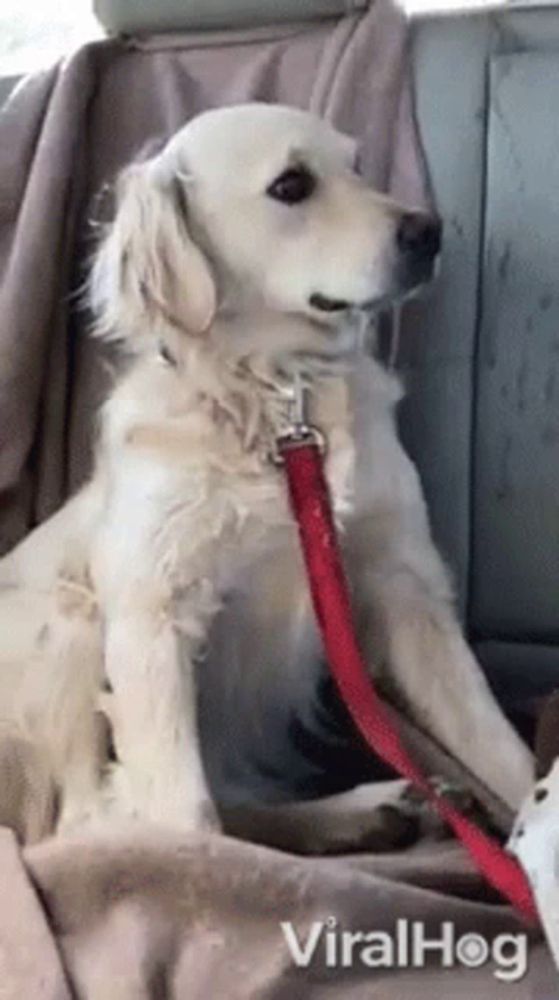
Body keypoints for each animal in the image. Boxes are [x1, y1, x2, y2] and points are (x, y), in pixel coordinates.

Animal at [0, 105, 536, 848]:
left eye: (357, 166)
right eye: (290, 185)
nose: (428, 231)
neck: (284, 408)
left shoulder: (407, 586)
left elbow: (497, 744)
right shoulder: (152, 614)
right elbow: (185, 817)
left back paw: (371, 811)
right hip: (67, 616)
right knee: (89, 821)